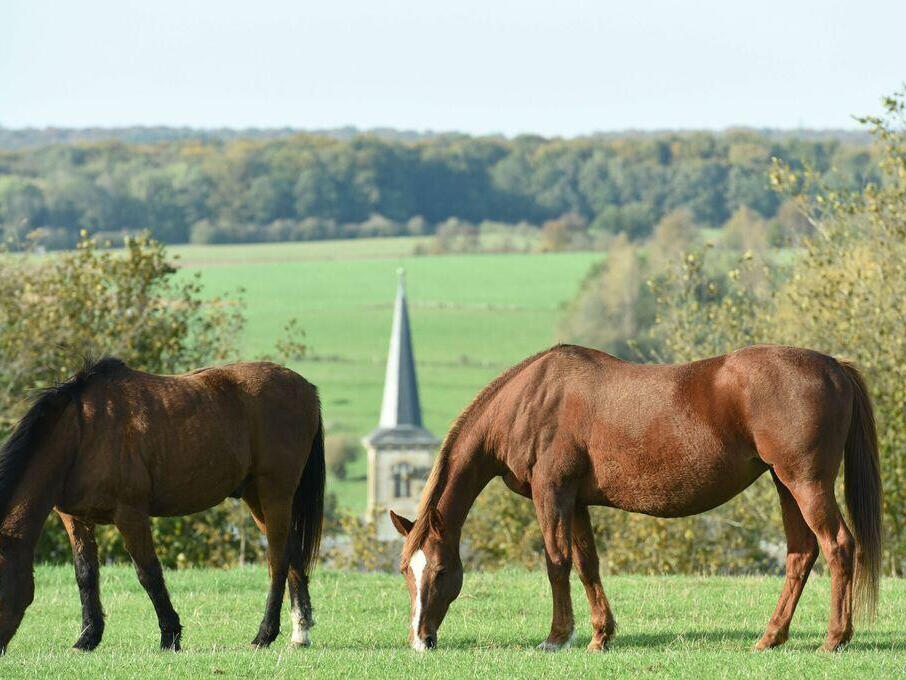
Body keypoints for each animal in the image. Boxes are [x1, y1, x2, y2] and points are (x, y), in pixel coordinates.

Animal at [0, 358, 324, 656]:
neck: (83, 433)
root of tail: (304, 387)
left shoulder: (130, 515)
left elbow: (149, 574)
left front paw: (170, 636)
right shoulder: (75, 518)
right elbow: (85, 575)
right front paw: (87, 638)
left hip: (274, 492)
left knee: (277, 560)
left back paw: (264, 635)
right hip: (256, 496)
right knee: (292, 554)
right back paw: (300, 632)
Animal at [392, 346, 880, 652]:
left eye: (440, 570)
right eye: (405, 571)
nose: (420, 641)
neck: (531, 399)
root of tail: (833, 365)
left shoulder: (552, 494)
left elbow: (556, 563)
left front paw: (556, 637)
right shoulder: (576, 501)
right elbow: (587, 564)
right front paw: (600, 636)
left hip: (806, 483)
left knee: (838, 546)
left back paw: (834, 638)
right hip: (785, 483)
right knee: (801, 553)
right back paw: (771, 637)